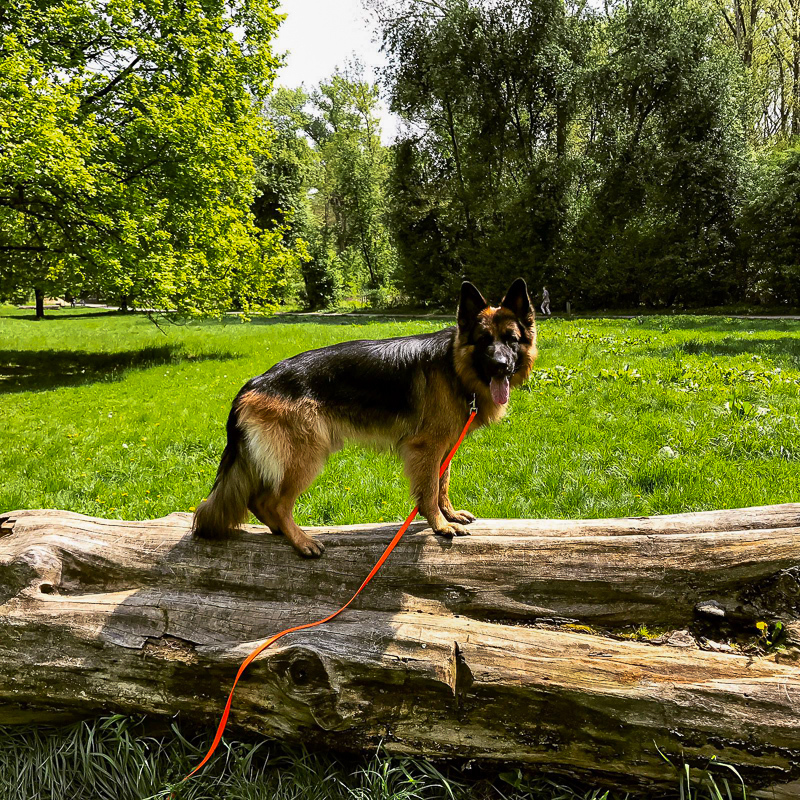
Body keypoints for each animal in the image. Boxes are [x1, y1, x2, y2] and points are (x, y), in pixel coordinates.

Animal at [191, 280, 536, 556]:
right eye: (484, 340)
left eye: (511, 339)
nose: (501, 366)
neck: (454, 367)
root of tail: (254, 382)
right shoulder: (426, 448)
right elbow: (428, 489)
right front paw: (439, 525)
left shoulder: (445, 446)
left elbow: (442, 483)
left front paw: (448, 514)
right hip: (307, 454)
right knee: (270, 502)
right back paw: (301, 541)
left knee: (258, 502)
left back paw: (281, 531)